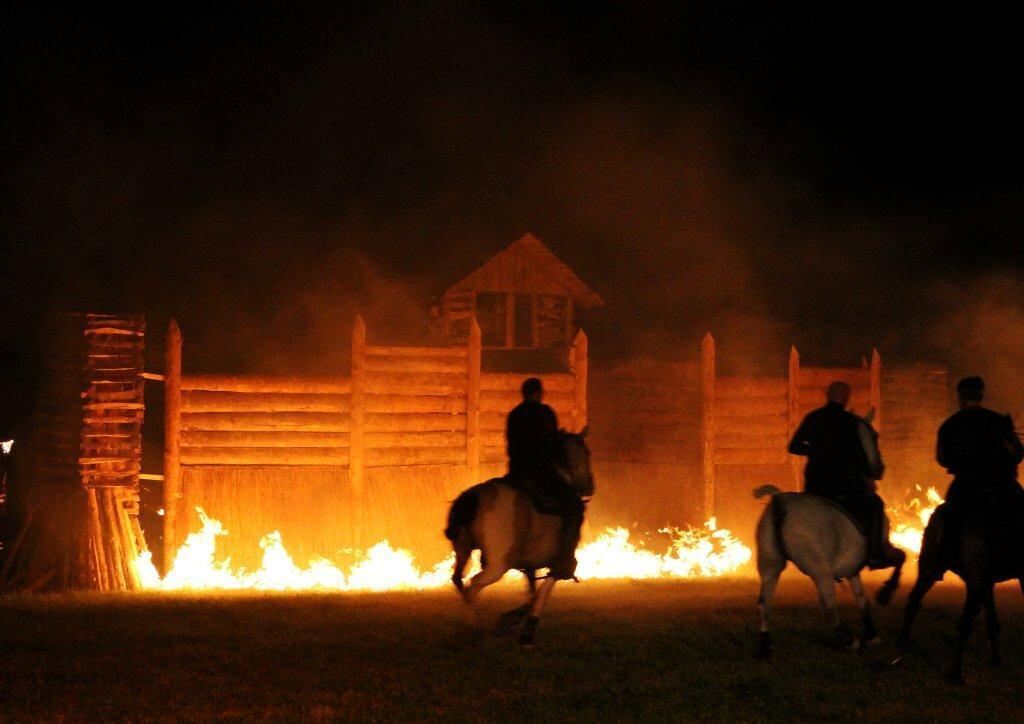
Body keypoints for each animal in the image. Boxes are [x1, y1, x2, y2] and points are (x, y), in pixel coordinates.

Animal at [753, 411, 905, 659]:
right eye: (874, 435)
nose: (879, 468)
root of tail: (779, 500)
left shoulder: (852, 569)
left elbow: (862, 598)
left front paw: (872, 633)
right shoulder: (882, 547)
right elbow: (901, 558)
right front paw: (886, 593)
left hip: (770, 564)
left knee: (765, 603)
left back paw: (765, 648)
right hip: (819, 571)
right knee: (828, 607)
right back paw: (850, 641)